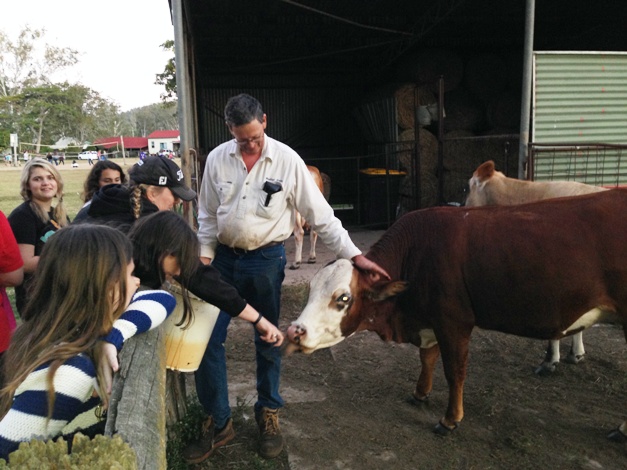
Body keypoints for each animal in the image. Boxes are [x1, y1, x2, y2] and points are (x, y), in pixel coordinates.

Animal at [288, 189, 627, 438]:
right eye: (311, 289)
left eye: (343, 298)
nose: (294, 331)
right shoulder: (430, 320)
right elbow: (427, 358)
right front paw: (420, 393)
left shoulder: (454, 322)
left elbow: (455, 371)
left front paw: (450, 419)